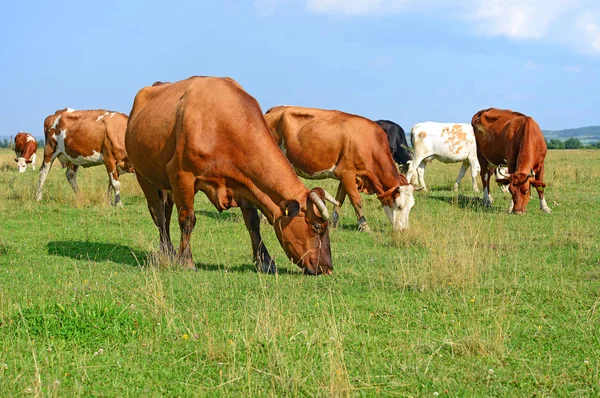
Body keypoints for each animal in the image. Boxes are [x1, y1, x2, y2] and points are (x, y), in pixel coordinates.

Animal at [125, 77, 336, 276]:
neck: (222, 124)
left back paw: (167, 250)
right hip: (144, 175)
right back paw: (167, 251)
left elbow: (253, 223)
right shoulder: (181, 175)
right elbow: (187, 219)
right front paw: (186, 261)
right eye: (317, 228)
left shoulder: (245, 183)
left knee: (166, 211)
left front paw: (265, 262)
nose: (328, 268)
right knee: (158, 214)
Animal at [264, 105, 414, 233]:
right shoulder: (346, 172)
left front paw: (333, 224)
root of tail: (272, 110)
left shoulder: (346, 175)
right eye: (399, 205)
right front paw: (364, 226)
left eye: (411, 206)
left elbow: (339, 200)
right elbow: (356, 200)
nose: (404, 230)